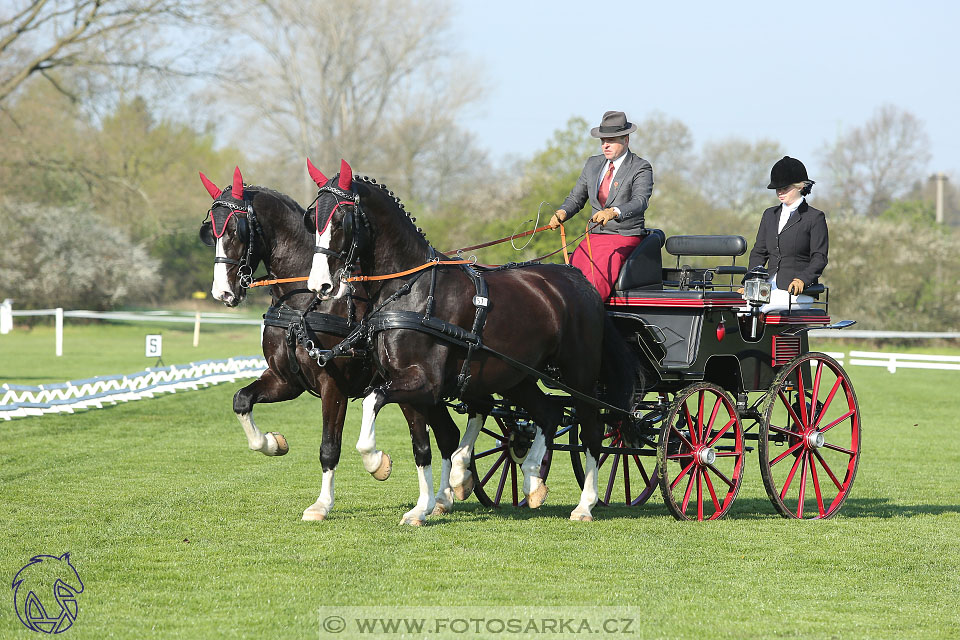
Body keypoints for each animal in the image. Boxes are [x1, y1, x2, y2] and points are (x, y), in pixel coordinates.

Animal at [196, 168, 468, 524]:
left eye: (233, 229)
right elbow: (242, 400)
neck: (304, 301)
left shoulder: (332, 384)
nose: (223, 293)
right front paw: (272, 443)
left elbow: (330, 446)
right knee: (448, 434)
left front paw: (327, 500)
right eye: (209, 232)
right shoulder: (286, 380)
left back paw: (451, 486)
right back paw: (443, 497)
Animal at [306, 159, 636, 520]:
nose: (320, 286)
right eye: (313, 220)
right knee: (549, 414)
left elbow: (372, 404)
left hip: (580, 377)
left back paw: (585, 503)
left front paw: (378, 463)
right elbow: (421, 446)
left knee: (591, 431)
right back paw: (532, 480)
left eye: (340, 221)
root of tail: (580, 281)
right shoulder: (404, 383)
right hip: (517, 376)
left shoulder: (425, 384)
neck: (412, 290)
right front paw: (422, 507)